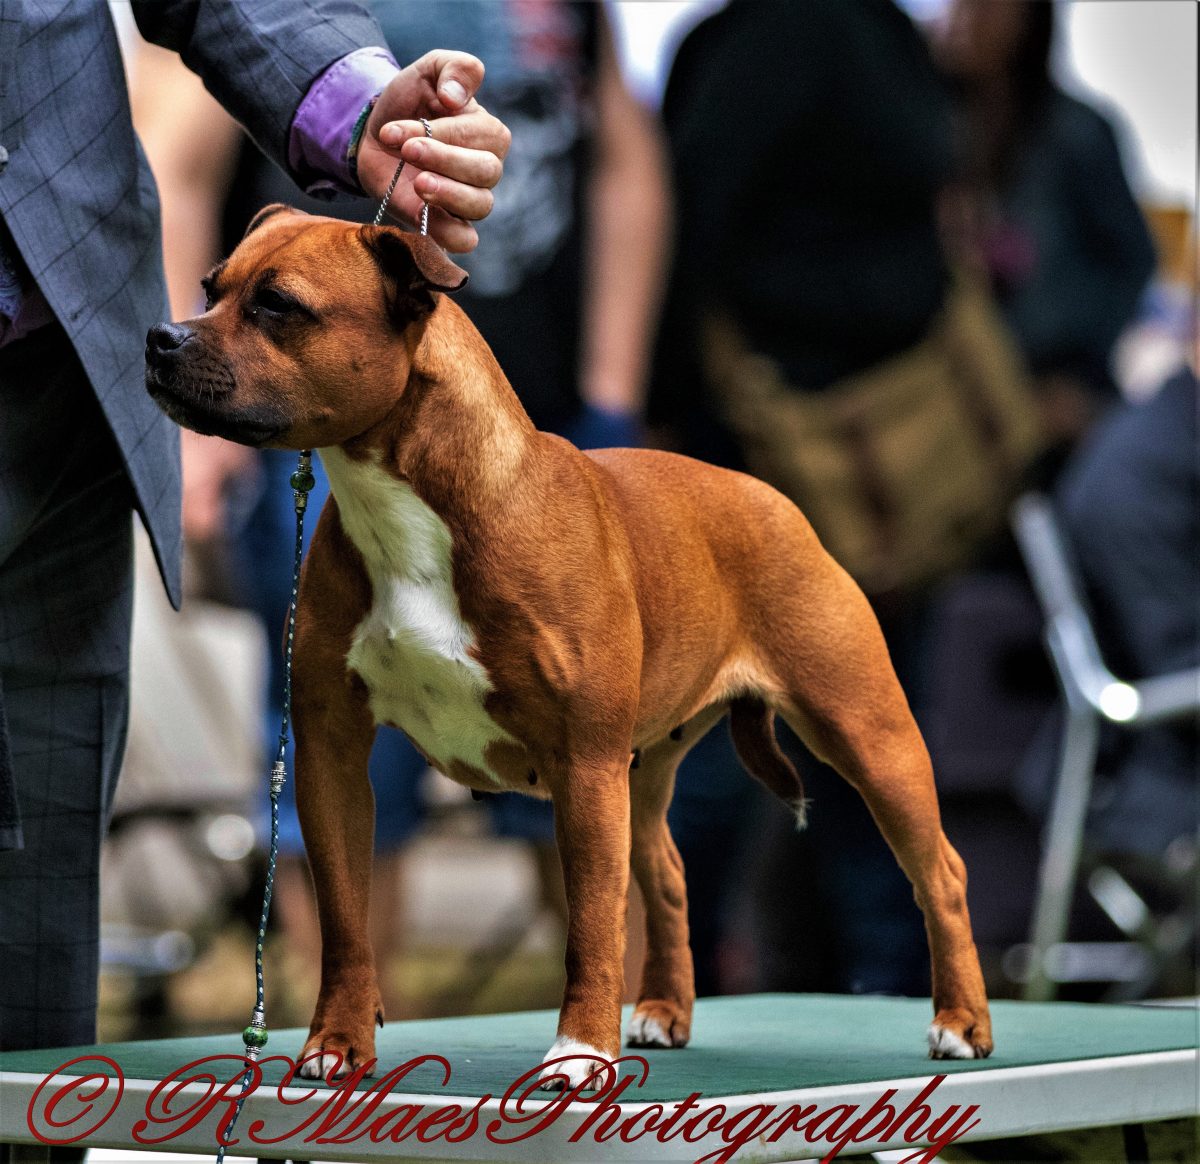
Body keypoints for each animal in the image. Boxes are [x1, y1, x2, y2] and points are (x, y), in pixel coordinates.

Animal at [145, 204, 993, 1084]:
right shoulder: (334, 756)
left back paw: (962, 1022)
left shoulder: (582, 767)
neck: (412, 503)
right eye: (211, 287)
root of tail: (774, 498)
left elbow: (590, 926)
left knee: (941, 871)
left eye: (279, 304)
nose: (161, 337)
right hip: (645, 774)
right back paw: (664, 1012)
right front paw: (338, 1044)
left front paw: (582, 1051)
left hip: (865, 735)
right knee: (668, 874)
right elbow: (347, 923)